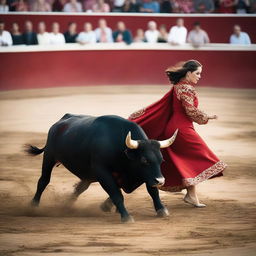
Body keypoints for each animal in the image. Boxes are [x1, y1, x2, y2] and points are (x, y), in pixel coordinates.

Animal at [26, 114, 178, 222]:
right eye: (144, 160)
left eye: (162, 160)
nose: (161, 181)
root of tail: (59, 122)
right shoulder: (103, 173)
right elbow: (116, 194)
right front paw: (125, 216)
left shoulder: (144, 176)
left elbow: (153, 191)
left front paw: (162, 210)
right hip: (49, 157)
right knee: (43, 181)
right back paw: (33, 206)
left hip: (86, 174)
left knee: (80, 188)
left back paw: (66, 206)